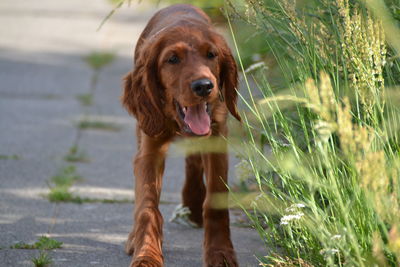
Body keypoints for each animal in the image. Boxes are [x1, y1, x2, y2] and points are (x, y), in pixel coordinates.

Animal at [122, 3, 239, 266]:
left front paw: (220, 253)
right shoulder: (149, 150)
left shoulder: (217, 139)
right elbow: (147, 207)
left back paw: (193, 205)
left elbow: (216, 202)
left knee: (194, 161)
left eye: (211, 55)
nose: (204, 86)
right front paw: (147, 254)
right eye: (172, 59)